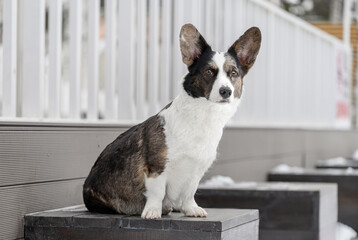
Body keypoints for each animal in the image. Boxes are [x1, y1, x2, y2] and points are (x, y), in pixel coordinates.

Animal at [83, 23, 262, 218]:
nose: (226, 91)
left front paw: (191, 208)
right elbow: (157, 192)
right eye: (208, 72)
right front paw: (153, 211)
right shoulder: (156, 168)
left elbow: (190, 192)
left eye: (234, 73)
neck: (204, 116)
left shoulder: (196, 170)